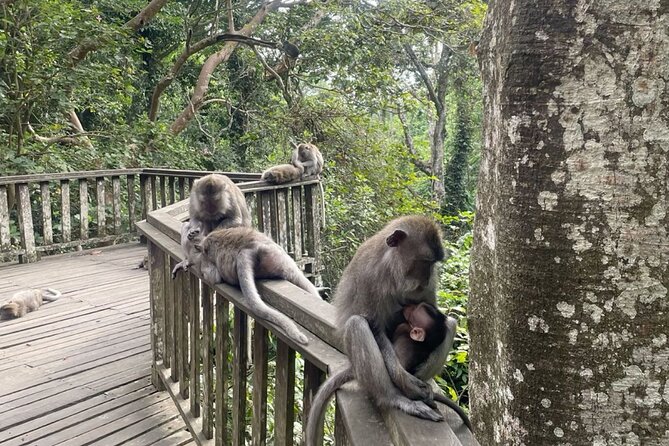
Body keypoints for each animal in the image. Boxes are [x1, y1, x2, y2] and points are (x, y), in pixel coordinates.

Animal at [305, 303, 471, 446]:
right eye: (415, 307)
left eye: (413, 311)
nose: (407, 306)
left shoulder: (404, 329)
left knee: (355, 324)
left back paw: (394, 398)